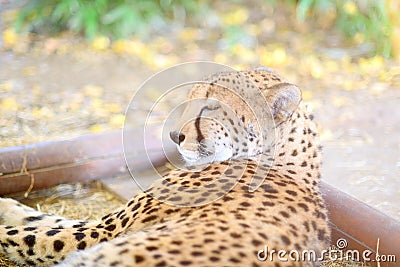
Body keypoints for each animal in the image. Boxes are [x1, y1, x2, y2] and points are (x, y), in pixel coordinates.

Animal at [0, 68, 332, 266]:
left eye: (211, 108)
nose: (175, 135)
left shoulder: (103, 232)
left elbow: (26, 234)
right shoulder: (105, 225)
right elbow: (39, 218)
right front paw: (6, 204)